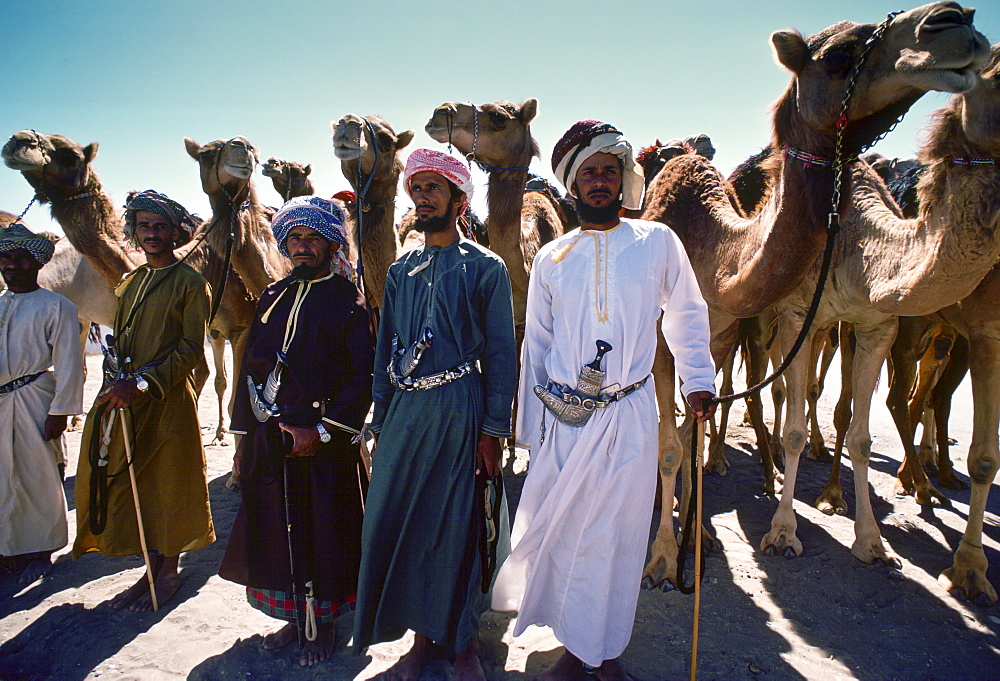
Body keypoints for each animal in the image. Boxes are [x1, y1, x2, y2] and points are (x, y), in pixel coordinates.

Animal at [636, 0, 988, 588]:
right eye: (840, 55)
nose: (955, 21)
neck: (710, 251)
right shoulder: (665, 341)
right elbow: (666, 445)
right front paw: (662, 557)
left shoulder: (721, 333)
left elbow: (688, 432)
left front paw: (697, 535)